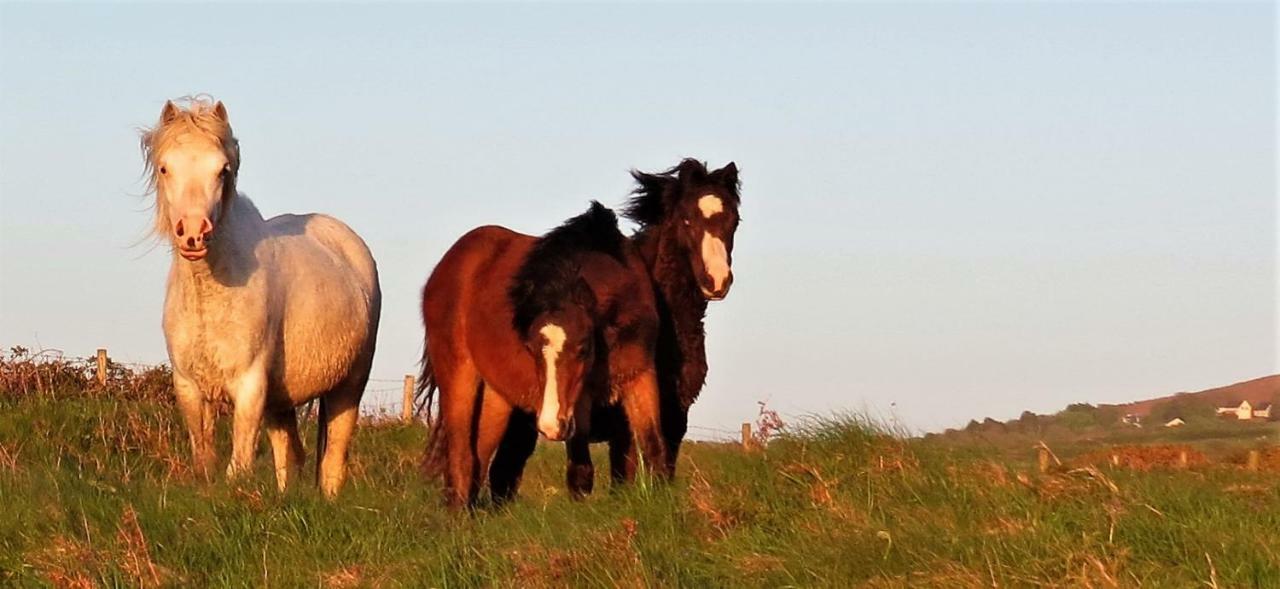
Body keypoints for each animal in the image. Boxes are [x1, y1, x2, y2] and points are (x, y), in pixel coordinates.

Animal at [142, 99, 378, 496]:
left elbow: (238, 464)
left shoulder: (250, 386)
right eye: (164, 167)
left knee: (332, 460)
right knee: (290, 456)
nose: (194, 233)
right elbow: (205, 461)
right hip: (281, 402)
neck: (211, 294)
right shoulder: (189, 387)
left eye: (222, 169)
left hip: (349, 385)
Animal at [419, 201, 665, 507]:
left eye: (584, 348)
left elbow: (655, 448)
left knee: (479, 455)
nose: (549, 426)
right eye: (531, 349)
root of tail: (441, 271)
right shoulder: (580, 400)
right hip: (458, 376)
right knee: (461, 456)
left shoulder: (641, 375)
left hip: (497, 395)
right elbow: (580, 470)